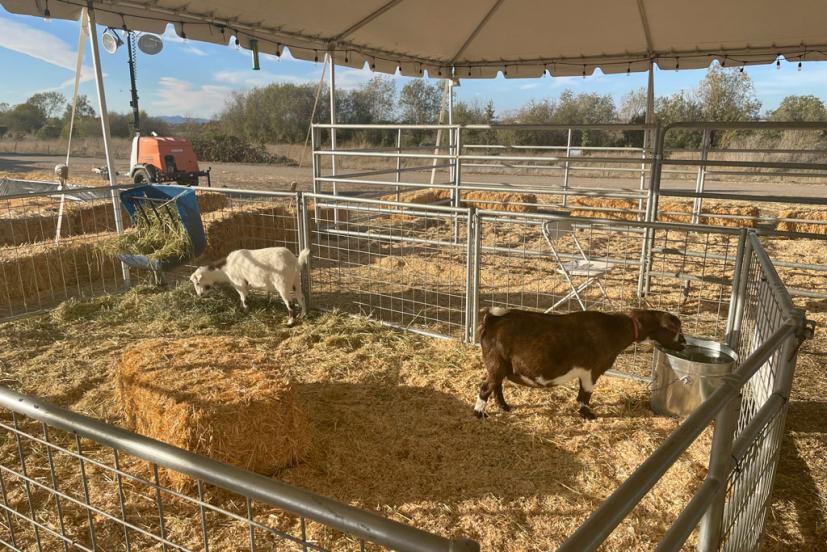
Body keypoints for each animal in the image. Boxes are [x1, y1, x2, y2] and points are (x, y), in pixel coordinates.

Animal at [476, 308, 688, 420]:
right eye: (677, 330)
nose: (685, 344)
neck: (617, 328)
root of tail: (493, 320)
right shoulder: (592, 370)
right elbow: (586, 394)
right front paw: (588, 415)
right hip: (497, 364)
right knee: (485, 388)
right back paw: (480, 413)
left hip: (501, 366)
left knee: (496, 386)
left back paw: (504, 407)